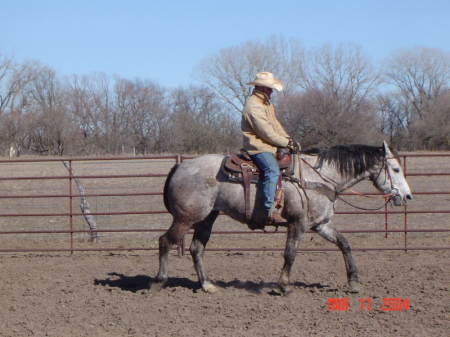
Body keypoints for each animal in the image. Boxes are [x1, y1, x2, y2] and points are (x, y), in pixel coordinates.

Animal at [156, 140, 414, 292]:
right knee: (165, 241)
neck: (317, 177)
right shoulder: (298, 224)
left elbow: (344, 244)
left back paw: (207, 285)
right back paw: (159, 281)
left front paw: (353, 282)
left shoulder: (320, 224)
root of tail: (181, 167)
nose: (407, 196)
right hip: (186, 217)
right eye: (395, 169)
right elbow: (290, 253)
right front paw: (283, 286)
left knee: (196, 248)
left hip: (207, 218)